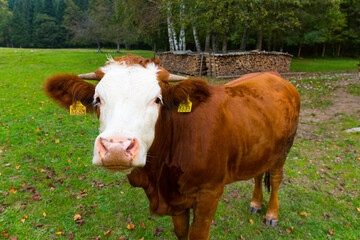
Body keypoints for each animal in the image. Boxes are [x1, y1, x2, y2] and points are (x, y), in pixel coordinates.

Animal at [43, 54, 300, 240]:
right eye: (97, 100)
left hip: (285, 147)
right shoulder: (177, 202)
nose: (116, 148)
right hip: (262, 147)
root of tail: (272, 74)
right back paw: (256, 203)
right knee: (258, 174)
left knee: (276, 177)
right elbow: (181, 232)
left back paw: (271, 213)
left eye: (158, 99)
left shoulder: (210, 193)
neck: (160, 177)